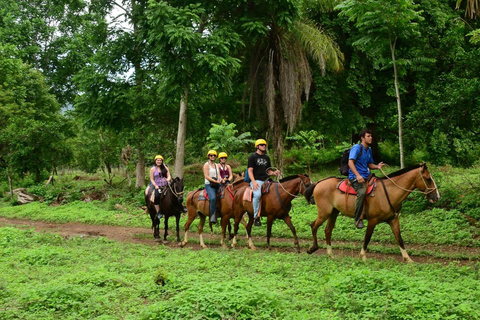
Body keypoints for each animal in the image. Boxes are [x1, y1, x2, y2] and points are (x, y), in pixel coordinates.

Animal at [306, 164, 440, 262]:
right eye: (428, 179)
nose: (437, 197)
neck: (390, 192)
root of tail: (319, 183)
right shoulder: (372, 220)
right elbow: (367, 237)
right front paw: (363, 257)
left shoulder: (393, 219)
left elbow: (399, 239)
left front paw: (408, 259)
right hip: (324, 212)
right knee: (314, 226)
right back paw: (312, 248)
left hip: (334, 212)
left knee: (328, 230)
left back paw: (330, 254)